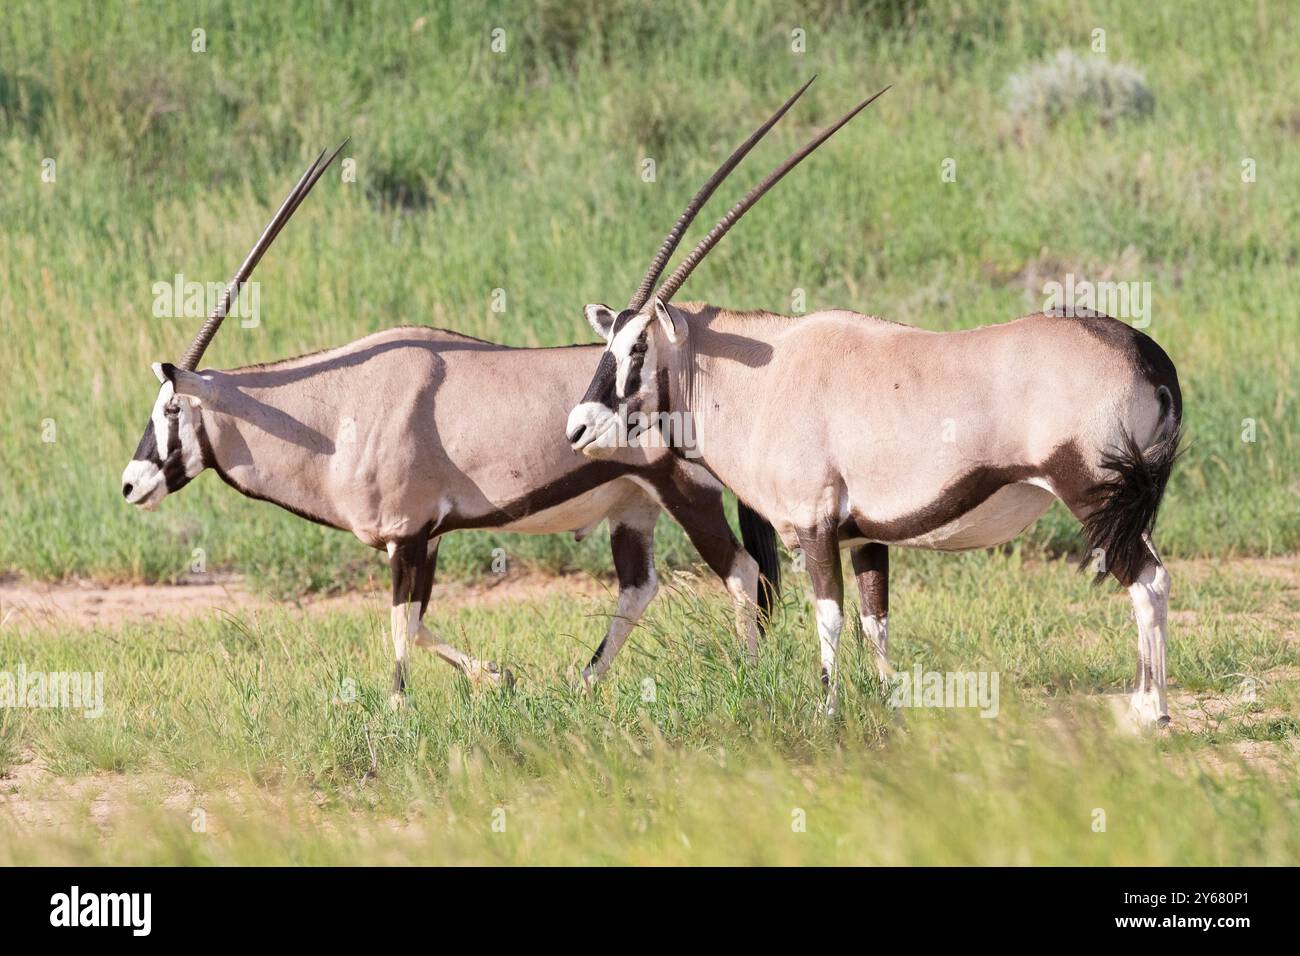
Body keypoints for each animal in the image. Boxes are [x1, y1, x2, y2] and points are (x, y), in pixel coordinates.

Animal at [119, 141, 780, 702]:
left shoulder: (405, 536)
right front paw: (500, 677)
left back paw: (747, 677)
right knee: (639, 589)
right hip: (633, 508)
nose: (130, 484)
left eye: (171, 408)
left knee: (742, 573)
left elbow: (401, 626)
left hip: (687, 494)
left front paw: (401, 709)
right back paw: (582, 684)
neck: (341, 408)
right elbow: (417, 621)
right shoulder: (428, 537)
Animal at [566, 85, 1180, 723]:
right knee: (1154, 579)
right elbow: (874, 622)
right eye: (607, 344)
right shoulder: (864, 536)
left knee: (1148, 582)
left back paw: (1151, 709)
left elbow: (830, 618)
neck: (767, 377)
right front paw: (892, 703)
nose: (578, 428)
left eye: (638, 347)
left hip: (1092, 492)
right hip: (1121, 503)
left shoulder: (815, 525)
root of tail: (1147, 355)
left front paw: (826, 710)